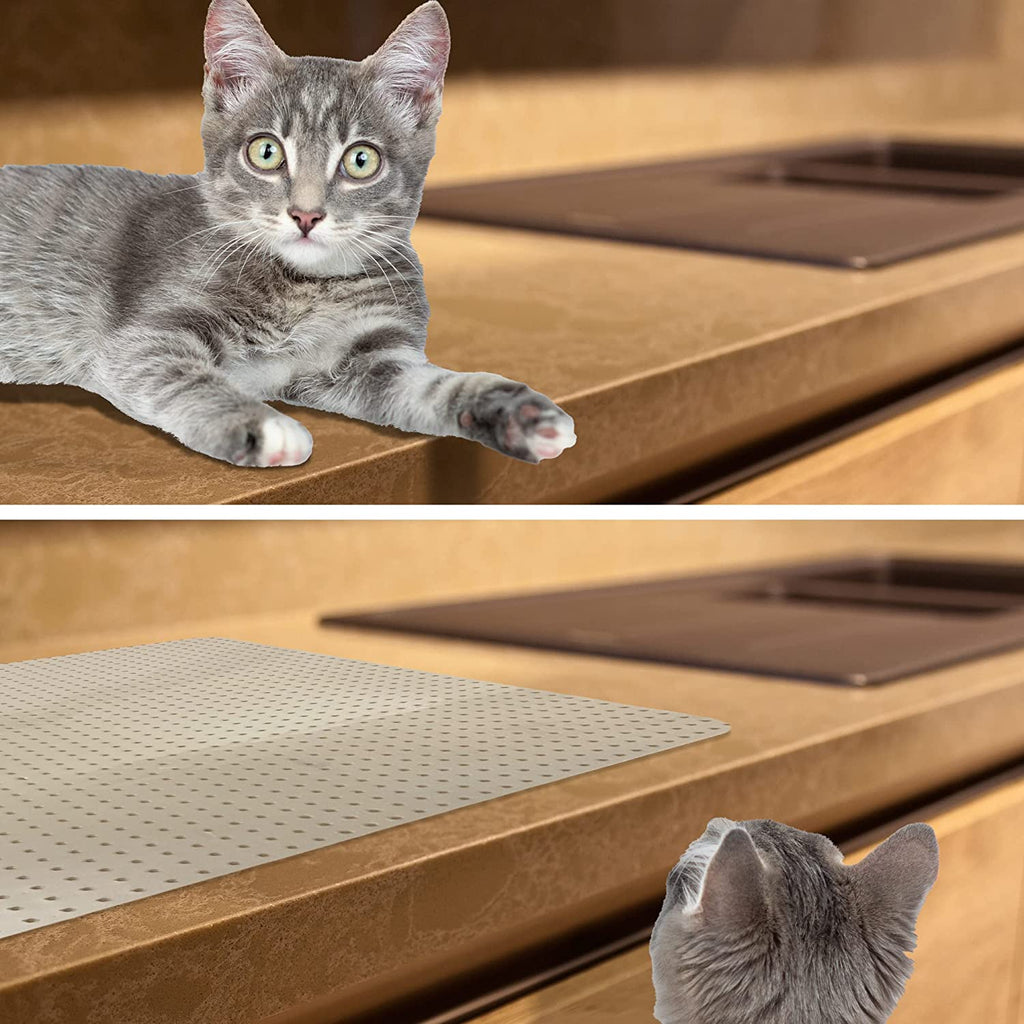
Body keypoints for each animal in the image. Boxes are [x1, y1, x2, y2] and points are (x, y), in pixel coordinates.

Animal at [0, 0, 577, 468]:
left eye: (361, 160)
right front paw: (259, 425)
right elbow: (179, 373)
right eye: (266, 151)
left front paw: (513, 410)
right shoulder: (145, 335)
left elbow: (431, 386)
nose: (305, 215)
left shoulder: (370, 358)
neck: (307, 287)